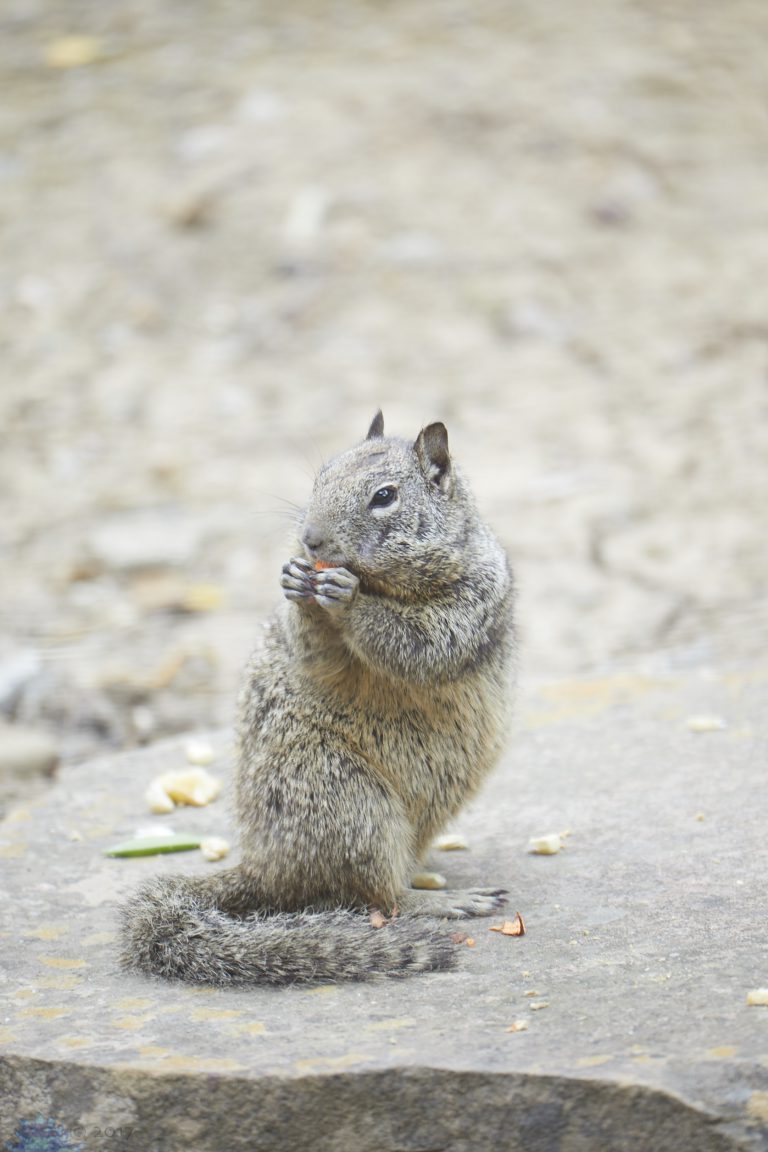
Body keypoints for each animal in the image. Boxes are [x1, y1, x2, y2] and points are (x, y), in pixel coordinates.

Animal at [120, 412, 515, 985]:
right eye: (319, 478)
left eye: (384, 496)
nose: (309, 540)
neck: (384, 584)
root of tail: (265, 871)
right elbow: (314, 654)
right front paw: (295, 583)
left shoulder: (470, 603)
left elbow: (421, 642)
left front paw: (347, 602)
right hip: (349, 802)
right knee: (375, 895)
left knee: (385, 897)